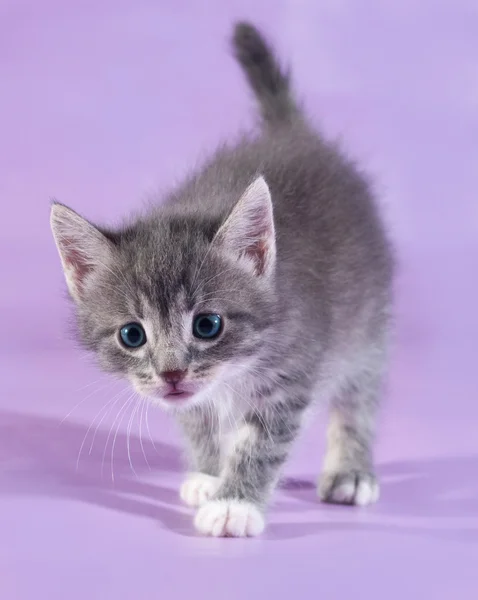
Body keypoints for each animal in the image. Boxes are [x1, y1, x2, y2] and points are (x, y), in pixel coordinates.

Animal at [50, 24, 394, 540]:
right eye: (132, 335)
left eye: (207, 325)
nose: (172, 373)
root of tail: (294, 133)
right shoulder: (194, 397)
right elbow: (200, 419)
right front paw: (211, 475)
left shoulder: (291, 370)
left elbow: (261, 440)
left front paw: (235, 503)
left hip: (368, 321)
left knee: (359, 396)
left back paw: (350, 470)